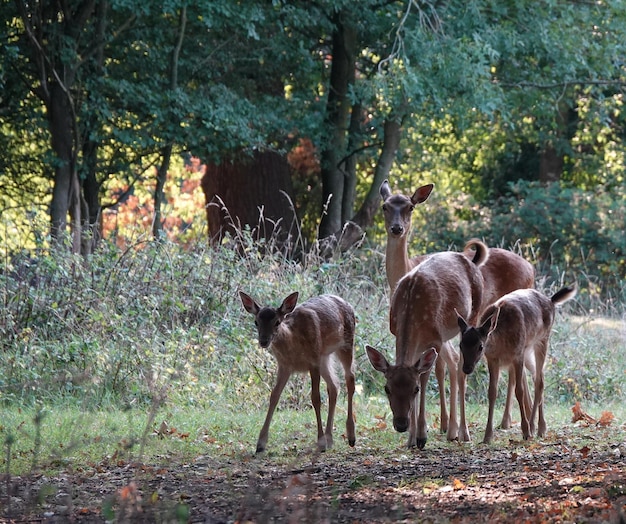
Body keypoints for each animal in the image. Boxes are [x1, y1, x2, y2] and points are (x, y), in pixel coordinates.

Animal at [239, 290, 356, 454]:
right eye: (256, 322)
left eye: (277, 322)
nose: (264, 341)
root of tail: (346, 302)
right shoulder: (284, 366)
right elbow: (274, 396)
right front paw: (260, 443)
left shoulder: (313, 361)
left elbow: (315, 398)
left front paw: (320, 442)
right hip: (324, 357)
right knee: (334, 385)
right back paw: (330, 438)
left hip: (346, 343)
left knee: (350, 379)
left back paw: (350, 437)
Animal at [364, 244, 486, 448]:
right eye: (387, 388)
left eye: (415, 390)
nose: (401, 424)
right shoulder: (399, 332)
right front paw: (411, 439)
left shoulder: (433, 340)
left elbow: (424, 377)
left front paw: (421, 436)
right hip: (445, 335)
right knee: (453, 360)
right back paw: (451, 431)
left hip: (472, 315)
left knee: (461, 368)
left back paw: (463, 433)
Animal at [378, 180, 532, 442]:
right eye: (385, 206)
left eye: (410, 206)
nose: (396, 228)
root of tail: (531, 267)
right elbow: (441, 366)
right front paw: (426, 430)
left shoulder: (436, 335)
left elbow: (435, 370)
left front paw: (430, 431)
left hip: (482, 316)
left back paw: (494, 425)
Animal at [454, 284, 576, 444]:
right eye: (461, 345)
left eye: (480, 346)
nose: (467, 368)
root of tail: (550, 300)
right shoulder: (493, 360)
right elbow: (492, 392)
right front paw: (487, 436)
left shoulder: (518, 355)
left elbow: (519, 391)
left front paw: (525, 431)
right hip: (528, 350)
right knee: (537, 377)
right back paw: (541, 427)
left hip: (542, 340)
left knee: (540, 382)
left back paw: (535, 427)